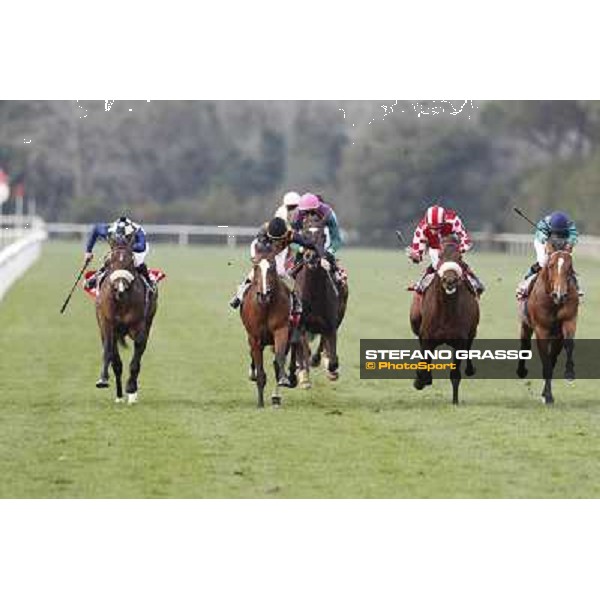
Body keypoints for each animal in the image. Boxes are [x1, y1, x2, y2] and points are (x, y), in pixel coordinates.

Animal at [95, 239, 157, 404]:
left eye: (131, 261)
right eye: (109, 262)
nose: (120, 287)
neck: (122, 301)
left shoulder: (140, 327)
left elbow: (136, 359)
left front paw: (131, 388)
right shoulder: (108, 325)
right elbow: (112, 357)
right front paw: (105, 381)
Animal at [241, 244, 292, 408]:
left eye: (273, 266)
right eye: (255, 266)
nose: (264, 295)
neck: (265, 307)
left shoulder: (281, 330)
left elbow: (279, 358)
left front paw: (283, 379)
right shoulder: (255, 338)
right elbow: (260, 371)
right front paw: (260, 403)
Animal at [290, 213, 346, 386]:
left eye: (323, 235)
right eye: (304, 234)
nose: (311, 257)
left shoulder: (331, 324)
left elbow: (333, 359)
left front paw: (330, 368)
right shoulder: (300, 323)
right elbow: (303, 350)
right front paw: (303, 375)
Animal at [408, 237, 478, 406]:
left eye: (459, 257)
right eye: (440, 256)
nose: (450, 280)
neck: (446, 311)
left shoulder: (460, 342)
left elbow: (455, 374)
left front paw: (455, 401)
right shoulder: (427, 338)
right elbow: (424, 362)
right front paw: (421, 380)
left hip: (473, 331)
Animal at [516, 241, 580, 406]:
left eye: (570, 267)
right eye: (551, 265)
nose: (560, 294)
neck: (554, 302)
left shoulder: (569, 321)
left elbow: (568, 344)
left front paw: (569, 372)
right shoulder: (541, 329)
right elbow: (545, 362)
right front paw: (549, 396)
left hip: (556, 336)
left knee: (554, 356)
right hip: (526, 324)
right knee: (525, 344)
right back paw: (521, 371)